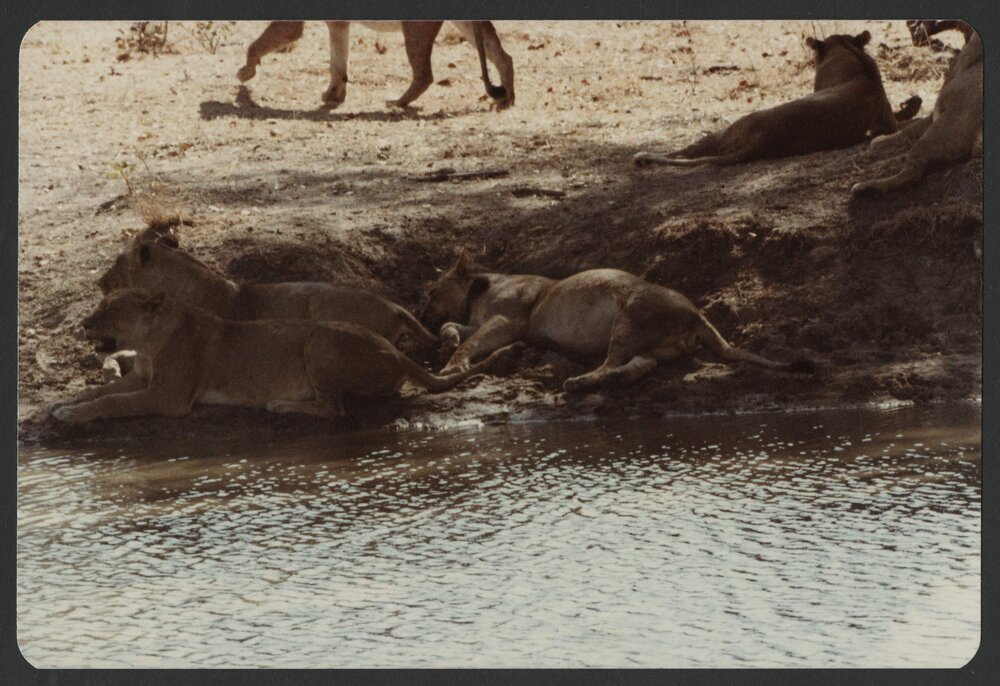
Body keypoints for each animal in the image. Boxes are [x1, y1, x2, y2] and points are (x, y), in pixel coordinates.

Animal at [50, 289, 514, 423]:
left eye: (111, 311)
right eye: (100, 306)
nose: (84, 324)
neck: (150, 344)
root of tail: (397, 354)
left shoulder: (168, 398)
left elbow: (112, 402)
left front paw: (72, 415)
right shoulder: (142, 378)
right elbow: (98, 390)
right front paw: (58, 404)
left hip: (318, 340)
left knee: (334, 408)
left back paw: (281, 405)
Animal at [237, 20, 514, 109]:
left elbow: (255, 45)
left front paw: (244, 73)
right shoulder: (338, 24)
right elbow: (338, 62)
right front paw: (334, 95)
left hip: (415, 29)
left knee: (424, 74)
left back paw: (397, 102)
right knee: (504, 56)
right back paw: (507, 99)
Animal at [419, 251, 814, 393]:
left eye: (431, 292)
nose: (420, 314)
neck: (477, 294)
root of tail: (697, 313)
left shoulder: (506, 320)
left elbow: (471, 343)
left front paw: (451, 365)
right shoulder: (484, 322)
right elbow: (456, 330)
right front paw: (447, 340)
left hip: (628, 317)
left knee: (613, 362)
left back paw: (579, 382)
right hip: (650, 342)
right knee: (642, 364)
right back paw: (605, 380)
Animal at [633, 31, 920, 167]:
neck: (848, 49)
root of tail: (763, 140)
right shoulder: (889, 118)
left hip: (732, 127)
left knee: (690, 149)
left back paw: (642, 157)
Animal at [851, 31, 982, 195]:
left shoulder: (934, 114)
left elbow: (907, 130)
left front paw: (879, 141)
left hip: (939, 131)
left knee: (912, 173)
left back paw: (865, 186)